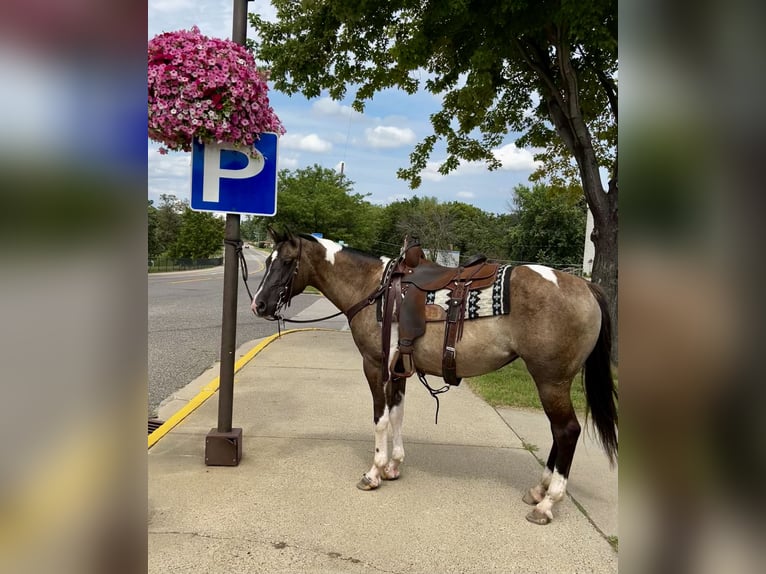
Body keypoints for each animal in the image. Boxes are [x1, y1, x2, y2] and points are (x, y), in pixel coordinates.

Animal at [255, 230, 620, 528]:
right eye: (269, 260)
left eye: (286, 262)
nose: (258, 304)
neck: (373, 288)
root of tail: (585, 285)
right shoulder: (398, 369)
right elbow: (397, 414)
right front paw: (393, 467)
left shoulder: (374, 365)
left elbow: (380, 419)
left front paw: (373, 473)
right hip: (550, 382)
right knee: (559, 432)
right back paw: (538, 490)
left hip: (551, 380)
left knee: (567, 431)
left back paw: (547, 503)